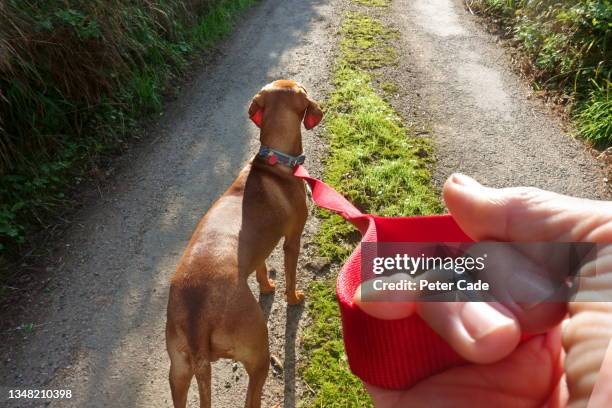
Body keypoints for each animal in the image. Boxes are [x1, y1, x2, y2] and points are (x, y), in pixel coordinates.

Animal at [165, 80, 322, 408]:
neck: (273, 162)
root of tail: (198, 318)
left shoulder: (259, 248)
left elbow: (261, 269)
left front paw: (267, 287)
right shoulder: (292, 239)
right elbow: (290, 275)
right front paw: (292, 297)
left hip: (178, 371)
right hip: (258, 354)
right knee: (252, 397)